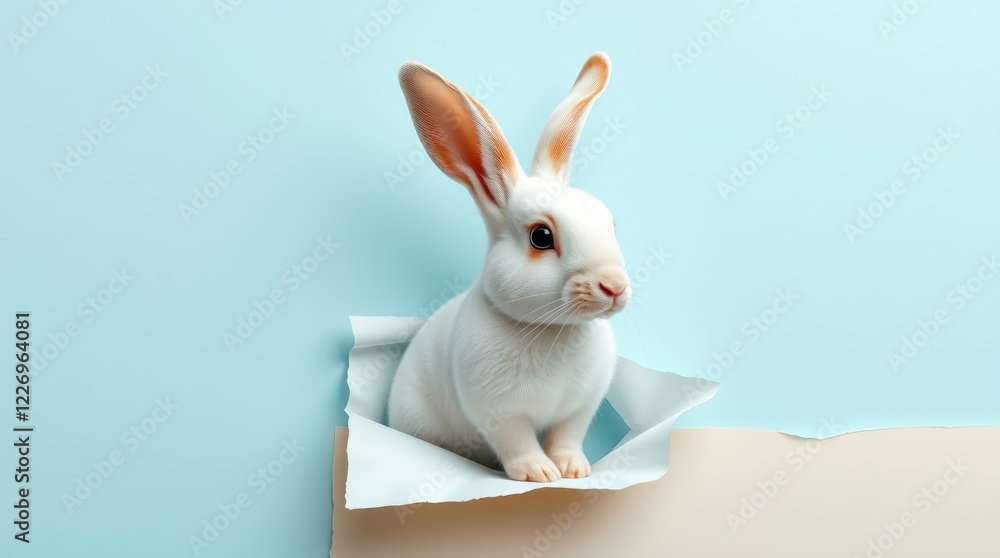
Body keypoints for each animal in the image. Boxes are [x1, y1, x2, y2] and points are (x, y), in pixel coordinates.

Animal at [387, 52, 631, 483]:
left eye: (608, 221)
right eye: (541, 237)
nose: (615, 286)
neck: (552, 330)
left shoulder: (578, 410)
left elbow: (567, 439)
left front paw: (574, 470)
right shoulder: (501, 415)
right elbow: (519, 446)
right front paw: (540, 474)